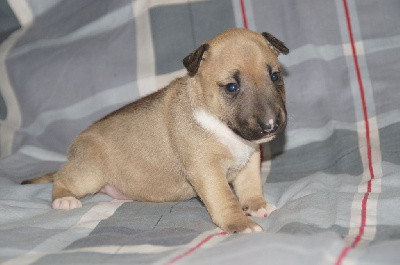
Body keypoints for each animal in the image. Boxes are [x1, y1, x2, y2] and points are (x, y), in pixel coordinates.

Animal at [21, 27, 290, 232]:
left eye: (275, 76)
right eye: (232, 87)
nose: (271, 125)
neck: (222, 126)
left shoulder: (249, 162)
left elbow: (250, 188)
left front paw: (258, 206)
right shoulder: (207, 171)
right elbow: (225, 199)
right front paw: (240, 224)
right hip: (88, 174)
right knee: (62, 179)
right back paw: (64, 200)